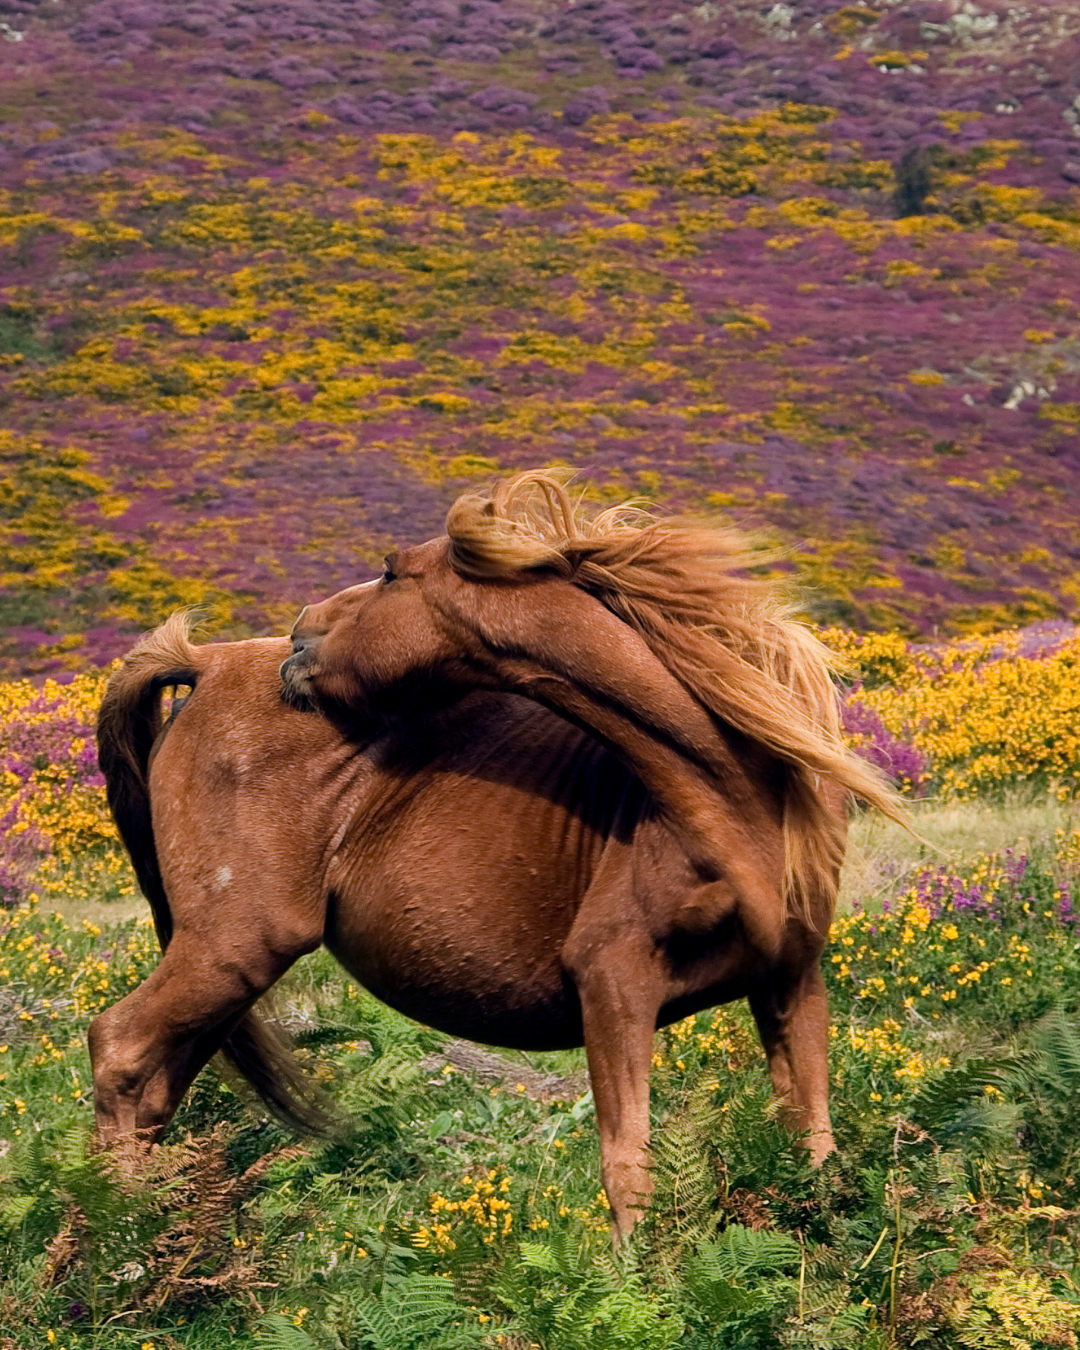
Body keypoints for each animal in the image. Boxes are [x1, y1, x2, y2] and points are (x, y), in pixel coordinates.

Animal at [95, 473, 901, 1237]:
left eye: (390, 572)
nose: (300, 634)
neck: (730, 802)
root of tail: (205, 663)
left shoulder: (790, 981)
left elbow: (814, 1145)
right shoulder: (613, 983)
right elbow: (628, 1171)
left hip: (230, 970)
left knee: (155, 1084)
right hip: (233, 947)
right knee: (121, 1051)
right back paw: (116, 1243)